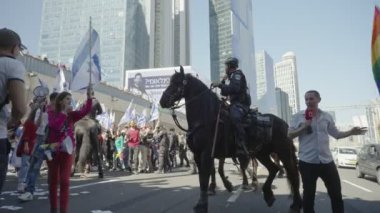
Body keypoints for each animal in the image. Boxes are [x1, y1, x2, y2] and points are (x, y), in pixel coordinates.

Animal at [159, 67, 302, 213]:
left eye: (177, 83)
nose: (162, 101)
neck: (206, 117)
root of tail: (284, 124)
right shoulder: (199, 155)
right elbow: (204, 177)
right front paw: (207, 196)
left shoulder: (207, 153)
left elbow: (206, 177)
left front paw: (204, 203)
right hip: (261, 153)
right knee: (273, 169)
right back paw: (268, 194)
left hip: (283, 152)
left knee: (292, 174)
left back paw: (295, 203)